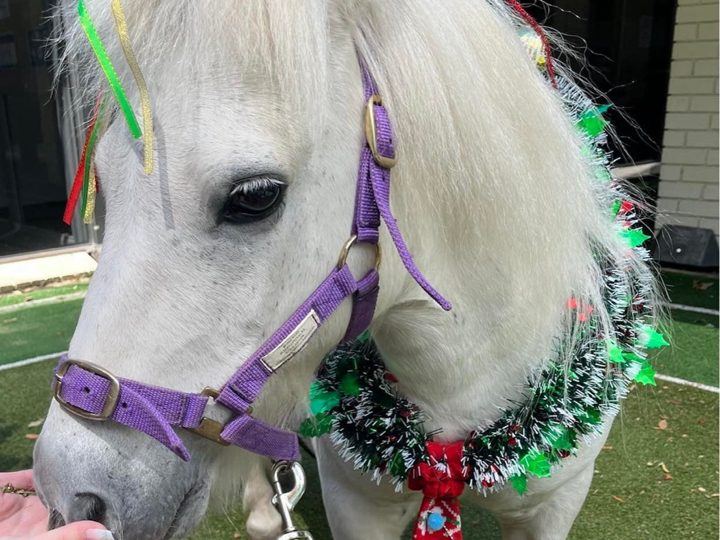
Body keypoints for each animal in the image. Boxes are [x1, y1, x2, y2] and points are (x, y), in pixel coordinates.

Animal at [33, 0, 661, 538]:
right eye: (103, 184)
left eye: (255, 196)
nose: (73, 499)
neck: (463, 381)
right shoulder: (357, 505)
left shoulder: (553, 506)